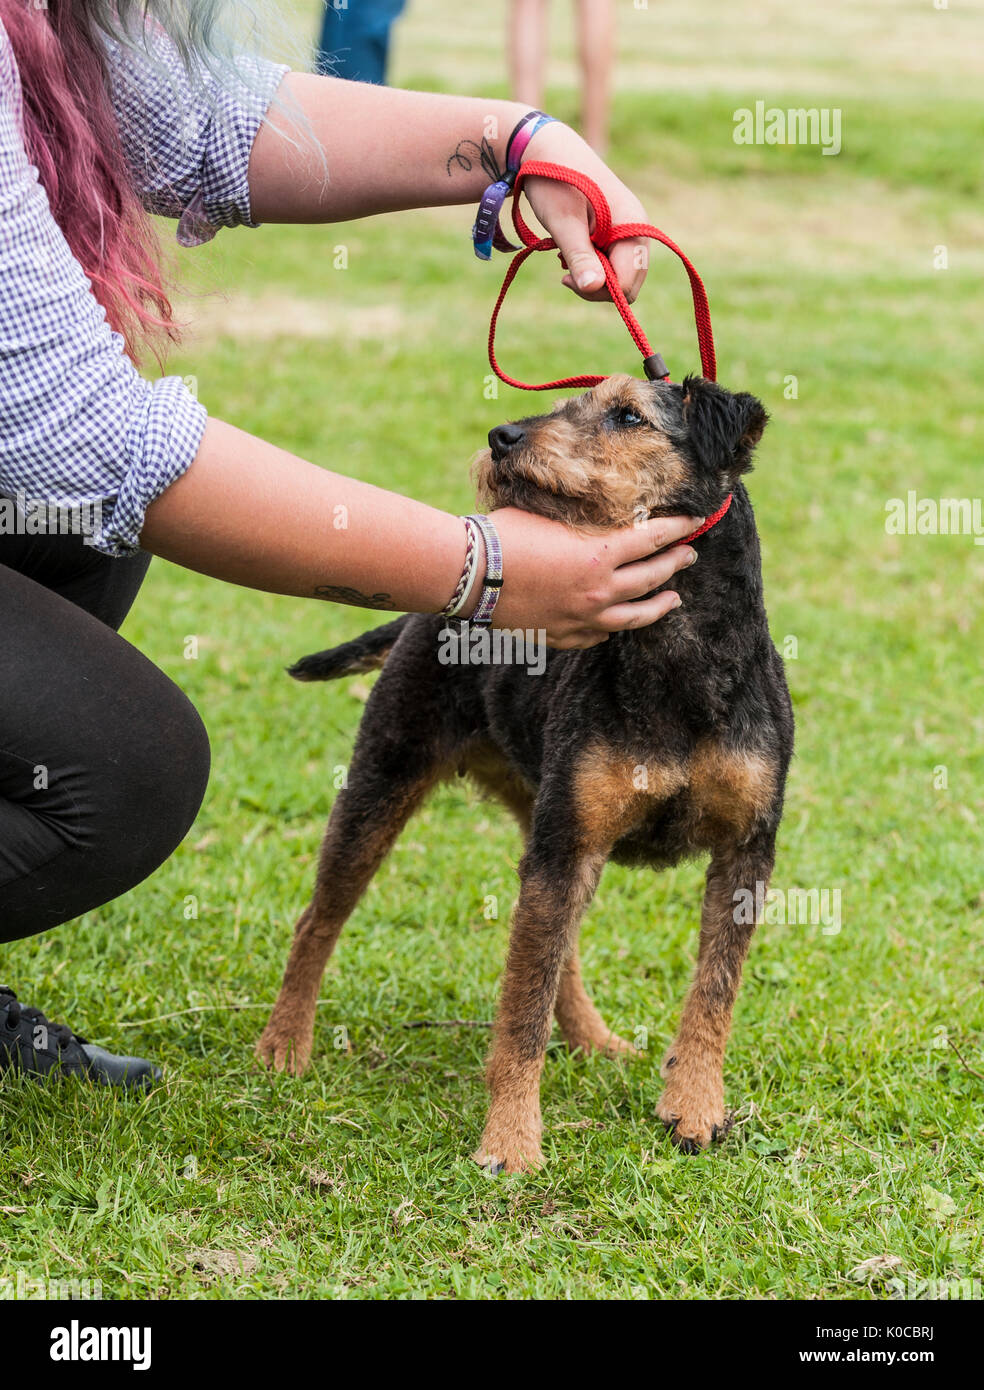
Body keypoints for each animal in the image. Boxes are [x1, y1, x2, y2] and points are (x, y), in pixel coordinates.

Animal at [257, 372, 794, 1173]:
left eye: (628, 415)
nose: (502, 436)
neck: (680, 658)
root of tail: (430, 612)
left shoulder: (744, 851)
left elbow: (713, 993)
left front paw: (695, 1107)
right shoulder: (567, 844)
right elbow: (520, 1015)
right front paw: (510, 1141)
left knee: (557, 952)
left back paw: (597, 1040)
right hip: (386, 783)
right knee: (318, 920)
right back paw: (285, 1044)